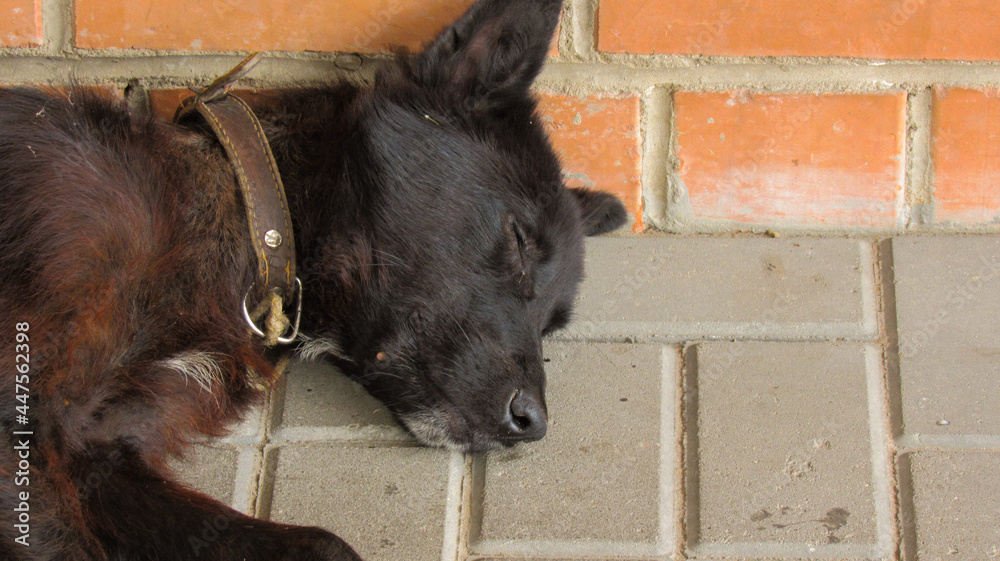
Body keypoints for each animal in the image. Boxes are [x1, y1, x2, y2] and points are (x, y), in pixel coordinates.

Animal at [0, 0, 624, 556]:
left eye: (551, 325)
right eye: (519, 240)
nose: (533, 424)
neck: (251, 227)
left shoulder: (98, 456)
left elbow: (323, 544)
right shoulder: (25, 433)